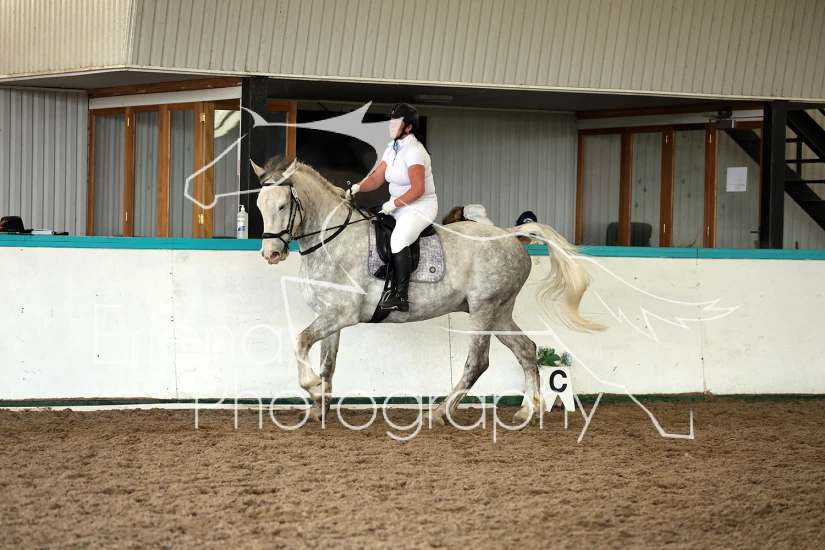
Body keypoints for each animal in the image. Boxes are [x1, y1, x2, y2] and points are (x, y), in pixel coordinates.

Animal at [251, 155, 605, 426]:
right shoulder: (330, 316)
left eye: (282, 206)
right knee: (526, 349)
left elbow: (300, 342)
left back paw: (439, 413)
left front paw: (311, 387)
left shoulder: (342, 314)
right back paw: (528, 412)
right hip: (500, 313)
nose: (271, 254)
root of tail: (509, 235)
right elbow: (327, 364)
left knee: (478, 362)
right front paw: (319, 407)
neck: (332, 240)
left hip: (484, 310)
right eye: (259, 205)